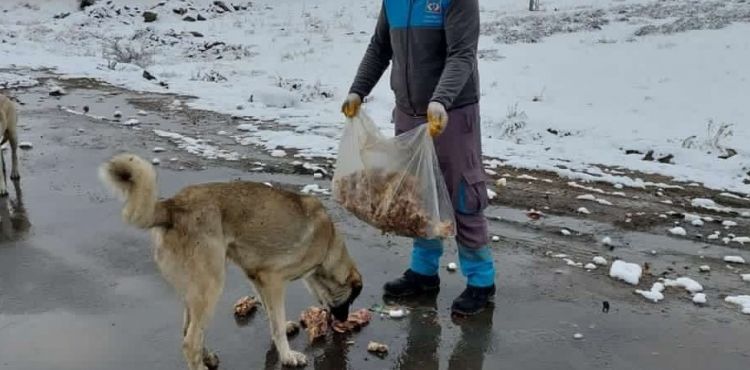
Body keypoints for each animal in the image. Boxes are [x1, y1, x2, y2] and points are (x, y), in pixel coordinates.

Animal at [100, 152, 364, 368]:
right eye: (351, 299)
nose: (343, 320)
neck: (328, 244)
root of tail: (172, 206)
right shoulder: (273, 280)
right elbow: (276, 323)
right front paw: (288, 356)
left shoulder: (257, 277)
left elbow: (271, 315)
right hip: (211, 285)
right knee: (190, 342)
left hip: (194, 290)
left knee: (188, 330)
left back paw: (207, 356)